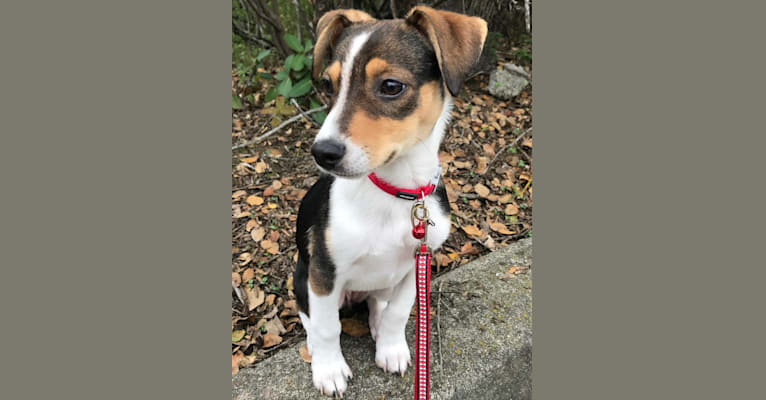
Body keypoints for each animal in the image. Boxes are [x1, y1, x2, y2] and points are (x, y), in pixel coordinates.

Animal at [294, 6, 486, 396]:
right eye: (328, 85)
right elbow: (326, 327)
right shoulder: (323, 271)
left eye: (391, 86)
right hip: (300, 276)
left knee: (378, 301)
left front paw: (391, 347)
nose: (323, 153)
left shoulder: (417, 262)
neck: (394, 191)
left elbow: (399, 310)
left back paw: (377, 321)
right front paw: (329, 369)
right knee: (311, 318)